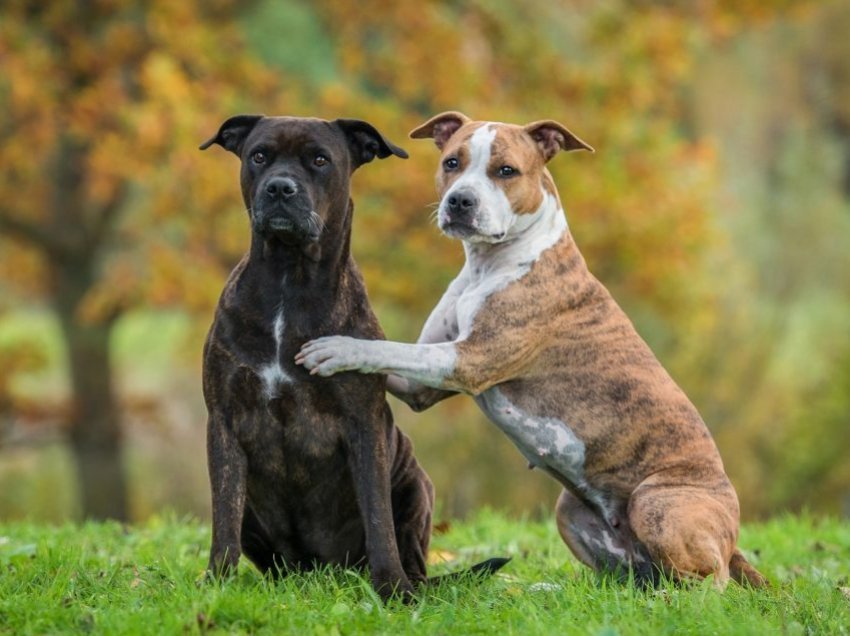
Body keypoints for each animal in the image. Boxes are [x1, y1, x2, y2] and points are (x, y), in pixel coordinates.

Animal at [199, 115, 434, 600]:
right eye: (259, 155)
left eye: (320, 160)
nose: (280, 187)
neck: (290, 280)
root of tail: (322, 572)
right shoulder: (225, 420)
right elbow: (223, 518)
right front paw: (217, 583)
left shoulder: (363, 423)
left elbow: (378, 518)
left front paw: (391, 589)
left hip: (415, 484)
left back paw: (412, 586)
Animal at [296, 110, 760, 588]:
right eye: (451, 162)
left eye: (506, 171)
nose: (460, 201)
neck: (489, 264)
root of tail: (733, 539)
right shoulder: (420, 387)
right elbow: (394, 357)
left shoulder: (468, 360)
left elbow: (388, 348)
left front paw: (336, 348)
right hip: (570, 511)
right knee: (628, 579)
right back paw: (542, 586)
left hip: (657, 506)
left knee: (709, 585)